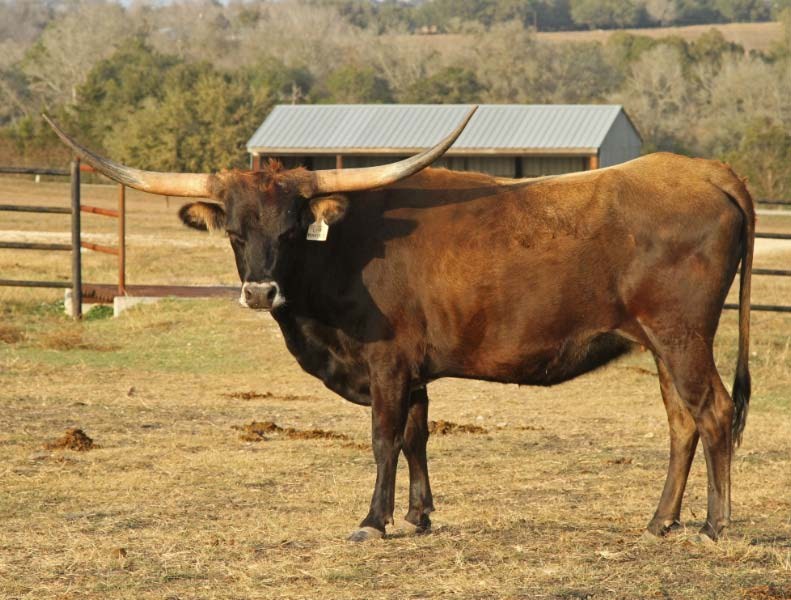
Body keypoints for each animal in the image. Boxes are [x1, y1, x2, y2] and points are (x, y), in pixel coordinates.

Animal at [45, 108, 754, 543]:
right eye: (235, 231)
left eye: (292, 228)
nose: (260, 290)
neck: (345, 248)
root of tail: (706, 169)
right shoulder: (415, 371)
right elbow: (417, 436)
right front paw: (418, 515)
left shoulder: (387, 363)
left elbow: (384, 438)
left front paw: (373, 520)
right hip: (659, 343)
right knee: (682, 422)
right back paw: (660, 521)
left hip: (682, 336)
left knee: (714, 412)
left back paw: (714, 525)